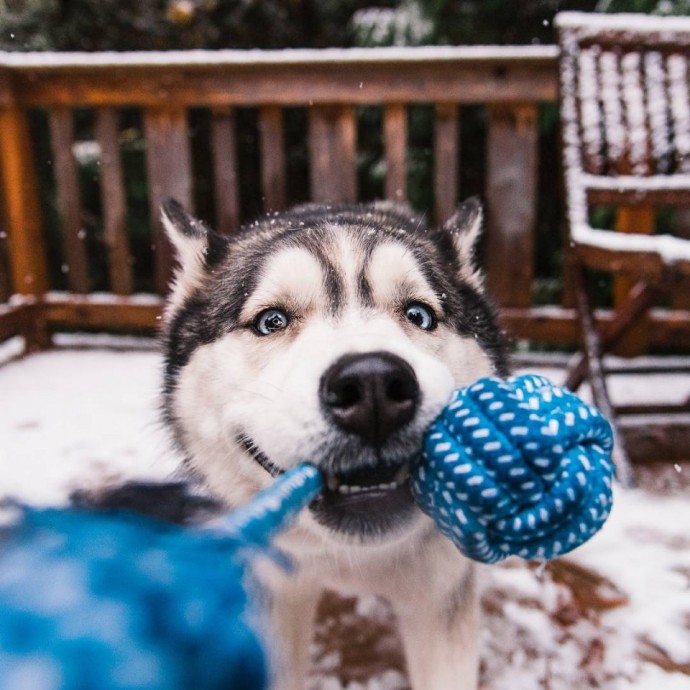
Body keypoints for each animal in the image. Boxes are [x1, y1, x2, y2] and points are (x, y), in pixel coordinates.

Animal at [160, 199, 506, 688]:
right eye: (271, 321)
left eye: (419, 315)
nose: (372, 385)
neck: (352, 557)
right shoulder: (274, 594)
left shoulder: (441, 602)